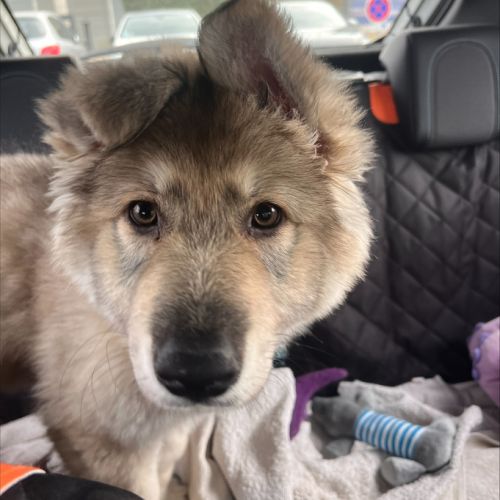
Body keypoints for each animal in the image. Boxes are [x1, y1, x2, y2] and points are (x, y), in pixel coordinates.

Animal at [0, 0, 373, 498]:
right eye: (142, 213)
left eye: (266, 215)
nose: (196, 373)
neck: (112, 328)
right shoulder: (99, 438)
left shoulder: (159, 431)